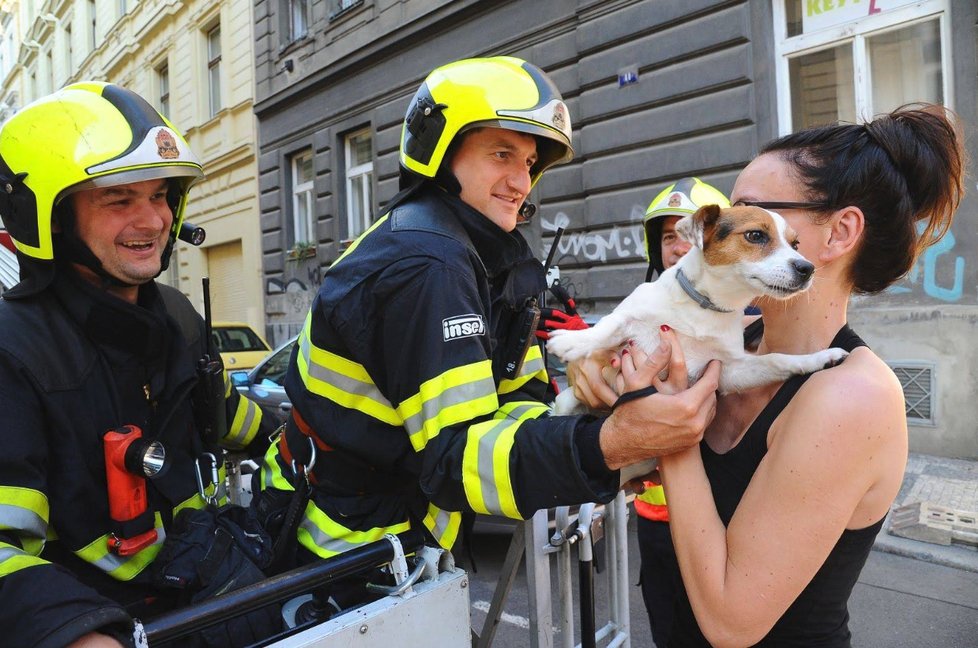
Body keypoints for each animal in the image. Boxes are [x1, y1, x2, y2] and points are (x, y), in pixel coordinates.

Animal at [544, 205, 852, 484]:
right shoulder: (631, 318)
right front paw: (573, 340)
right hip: (567, 402)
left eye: (795, 244)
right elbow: (609, 324)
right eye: (755, 235)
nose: (807, 268)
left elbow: (777, 359)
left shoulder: (730, 370)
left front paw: (819, 358)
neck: (706, 307)